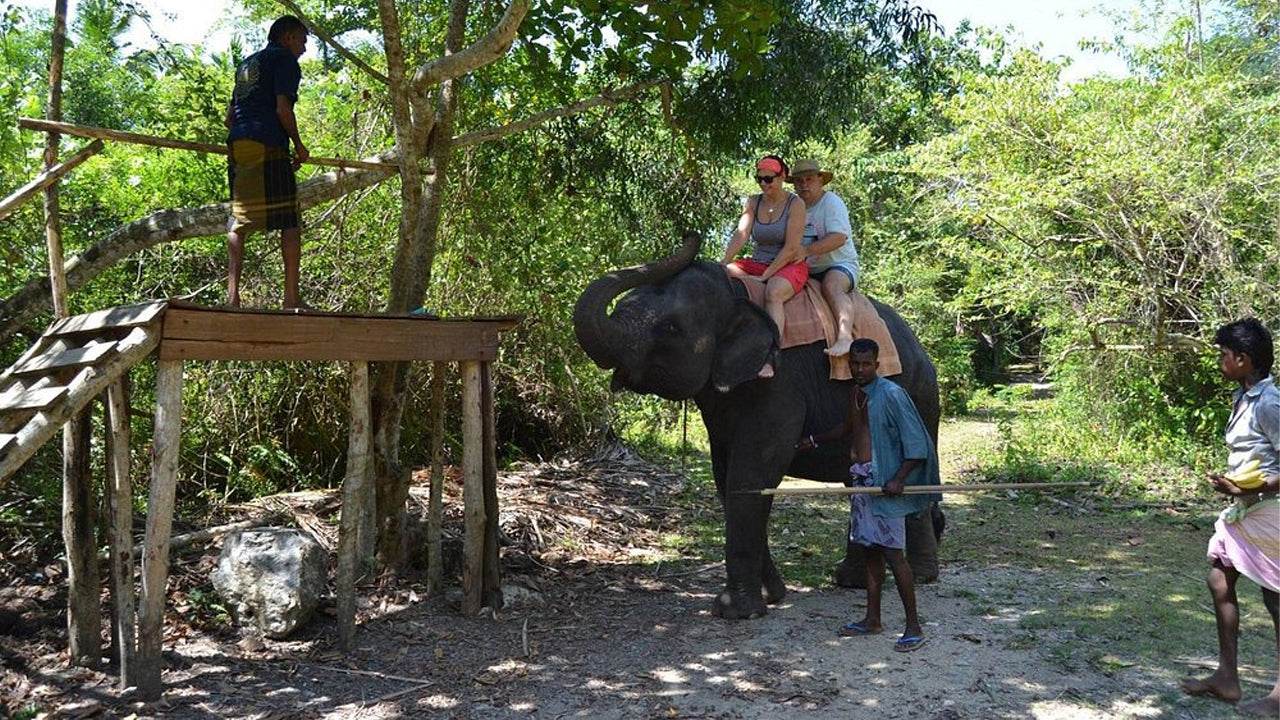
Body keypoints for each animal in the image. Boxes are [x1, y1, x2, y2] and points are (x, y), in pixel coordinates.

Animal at [574, 232, 943, 620]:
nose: (692, 236)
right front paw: (772, 595)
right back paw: (851, 580)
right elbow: (727, 477)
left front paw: (736, 611)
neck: (735, 294)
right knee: (857, 483)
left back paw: (920, 576)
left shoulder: (780, 382)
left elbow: (751, 473)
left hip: (920, 398)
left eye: (670, 328)